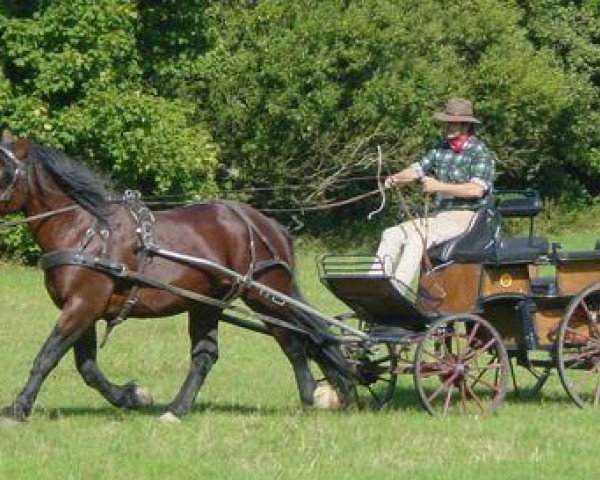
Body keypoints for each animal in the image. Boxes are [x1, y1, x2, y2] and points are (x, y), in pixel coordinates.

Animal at [0, 138, 356, 420]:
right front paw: (131, 396)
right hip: (210, 303)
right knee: (220, 353)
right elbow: (86, 367)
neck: (86, 230)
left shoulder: (83, 305)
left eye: (4, 171)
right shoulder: (81, 307)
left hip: (267, 294)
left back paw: (329, 391)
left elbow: (47, 356)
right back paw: (180, 408)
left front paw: (18, 408)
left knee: (302, 338)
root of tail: (269, 225)